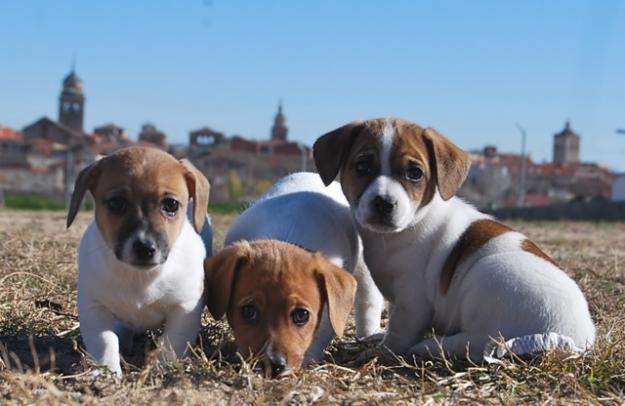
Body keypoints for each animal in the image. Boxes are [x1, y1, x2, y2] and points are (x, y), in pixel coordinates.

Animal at [66, 145, 212, 374]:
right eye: (116, 203)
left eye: (171, 205)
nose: (144, 248)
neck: (140, 278)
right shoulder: (94, 307)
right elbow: (104, 341)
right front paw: (107, 371)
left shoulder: (185, 308)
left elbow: (172, 343)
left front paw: (163, 368)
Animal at [312, 118, 596, 362]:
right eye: (362, 167)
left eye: (414, 173)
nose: (383, 203)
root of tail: (576, 337)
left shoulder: (412, 301)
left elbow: (399, 334)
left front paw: (381, 352)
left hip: (489, 276)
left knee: (480, 342)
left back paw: (431, 346)